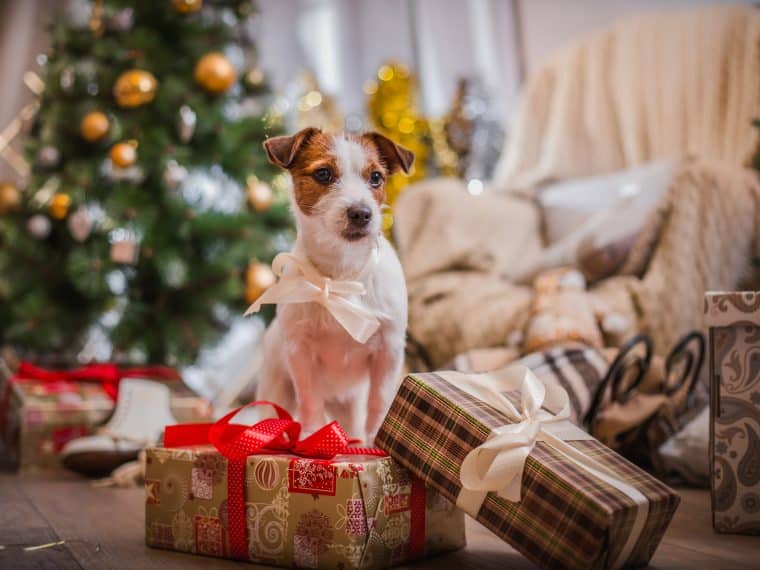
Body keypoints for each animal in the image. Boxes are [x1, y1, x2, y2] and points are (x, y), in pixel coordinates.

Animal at [252, 127, 412, 440]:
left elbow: (379, 403)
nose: (362, 213)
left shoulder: (388, 351)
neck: (342, 277)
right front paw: (314, 437)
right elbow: (310, 403)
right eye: (324, 174)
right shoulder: (300, 353)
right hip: (277, 388)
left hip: (350, 401)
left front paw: (375, 440)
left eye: (376, 177)